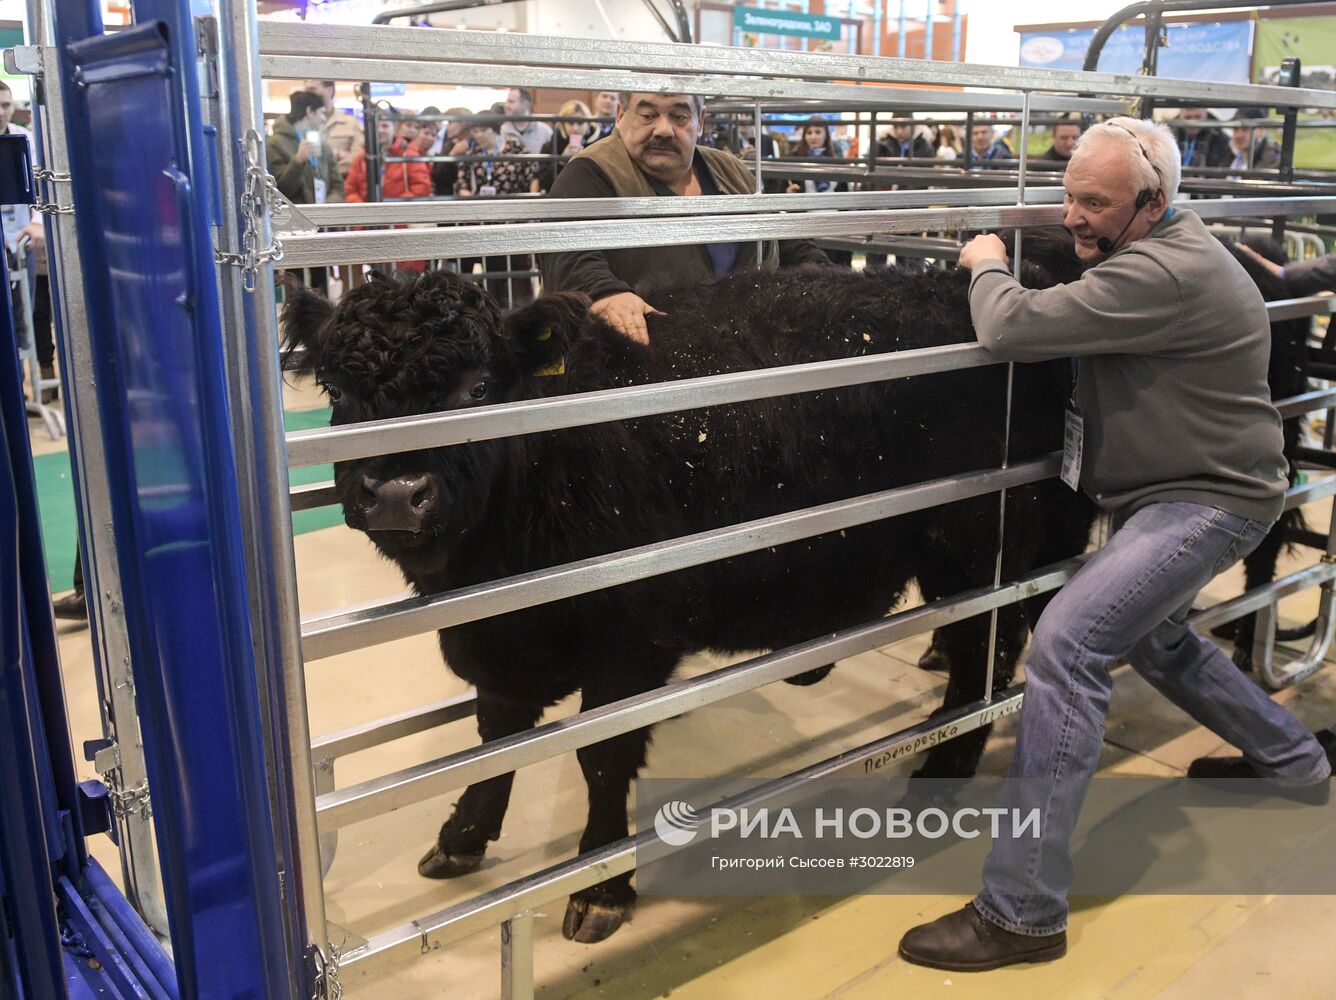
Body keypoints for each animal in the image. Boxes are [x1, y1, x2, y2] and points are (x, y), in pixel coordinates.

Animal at [281, 248, 1095, 934]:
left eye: (478, 387)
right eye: (339, 390)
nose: (396, 493)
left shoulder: (628, 648)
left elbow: (601, 757)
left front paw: (601, 884)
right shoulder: (498, 643)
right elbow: (494, 740)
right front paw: (463, 835)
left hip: (976, 540)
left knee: (985, 643)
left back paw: (942, 769)